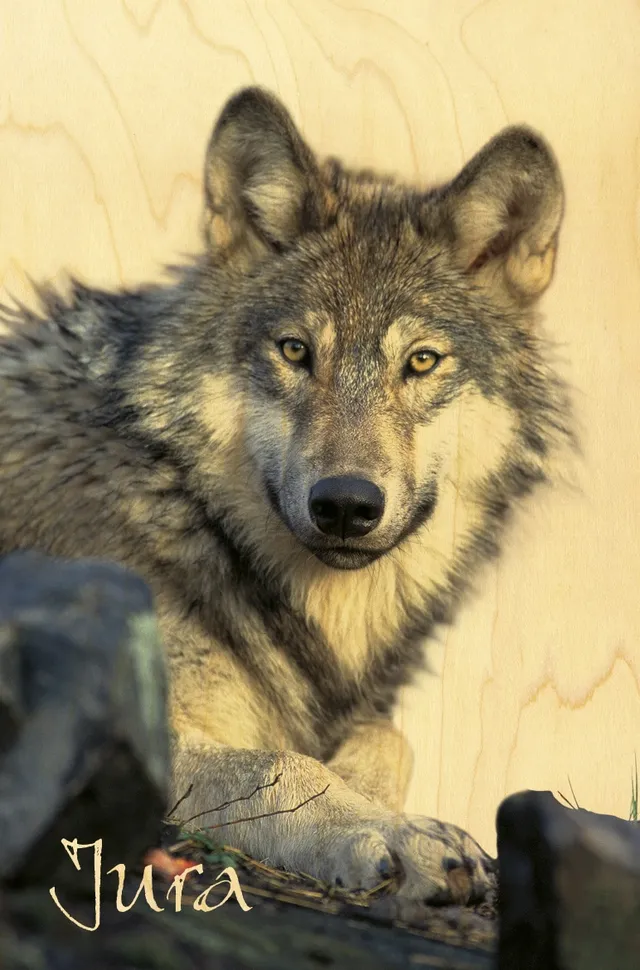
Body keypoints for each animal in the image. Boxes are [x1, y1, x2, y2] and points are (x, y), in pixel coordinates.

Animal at [0, 87, 571, 904]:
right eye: (296, 351)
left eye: (420, 362)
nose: (346, 505)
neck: (189, 510)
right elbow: (280, 764)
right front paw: (394, 834)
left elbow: (388, 738)